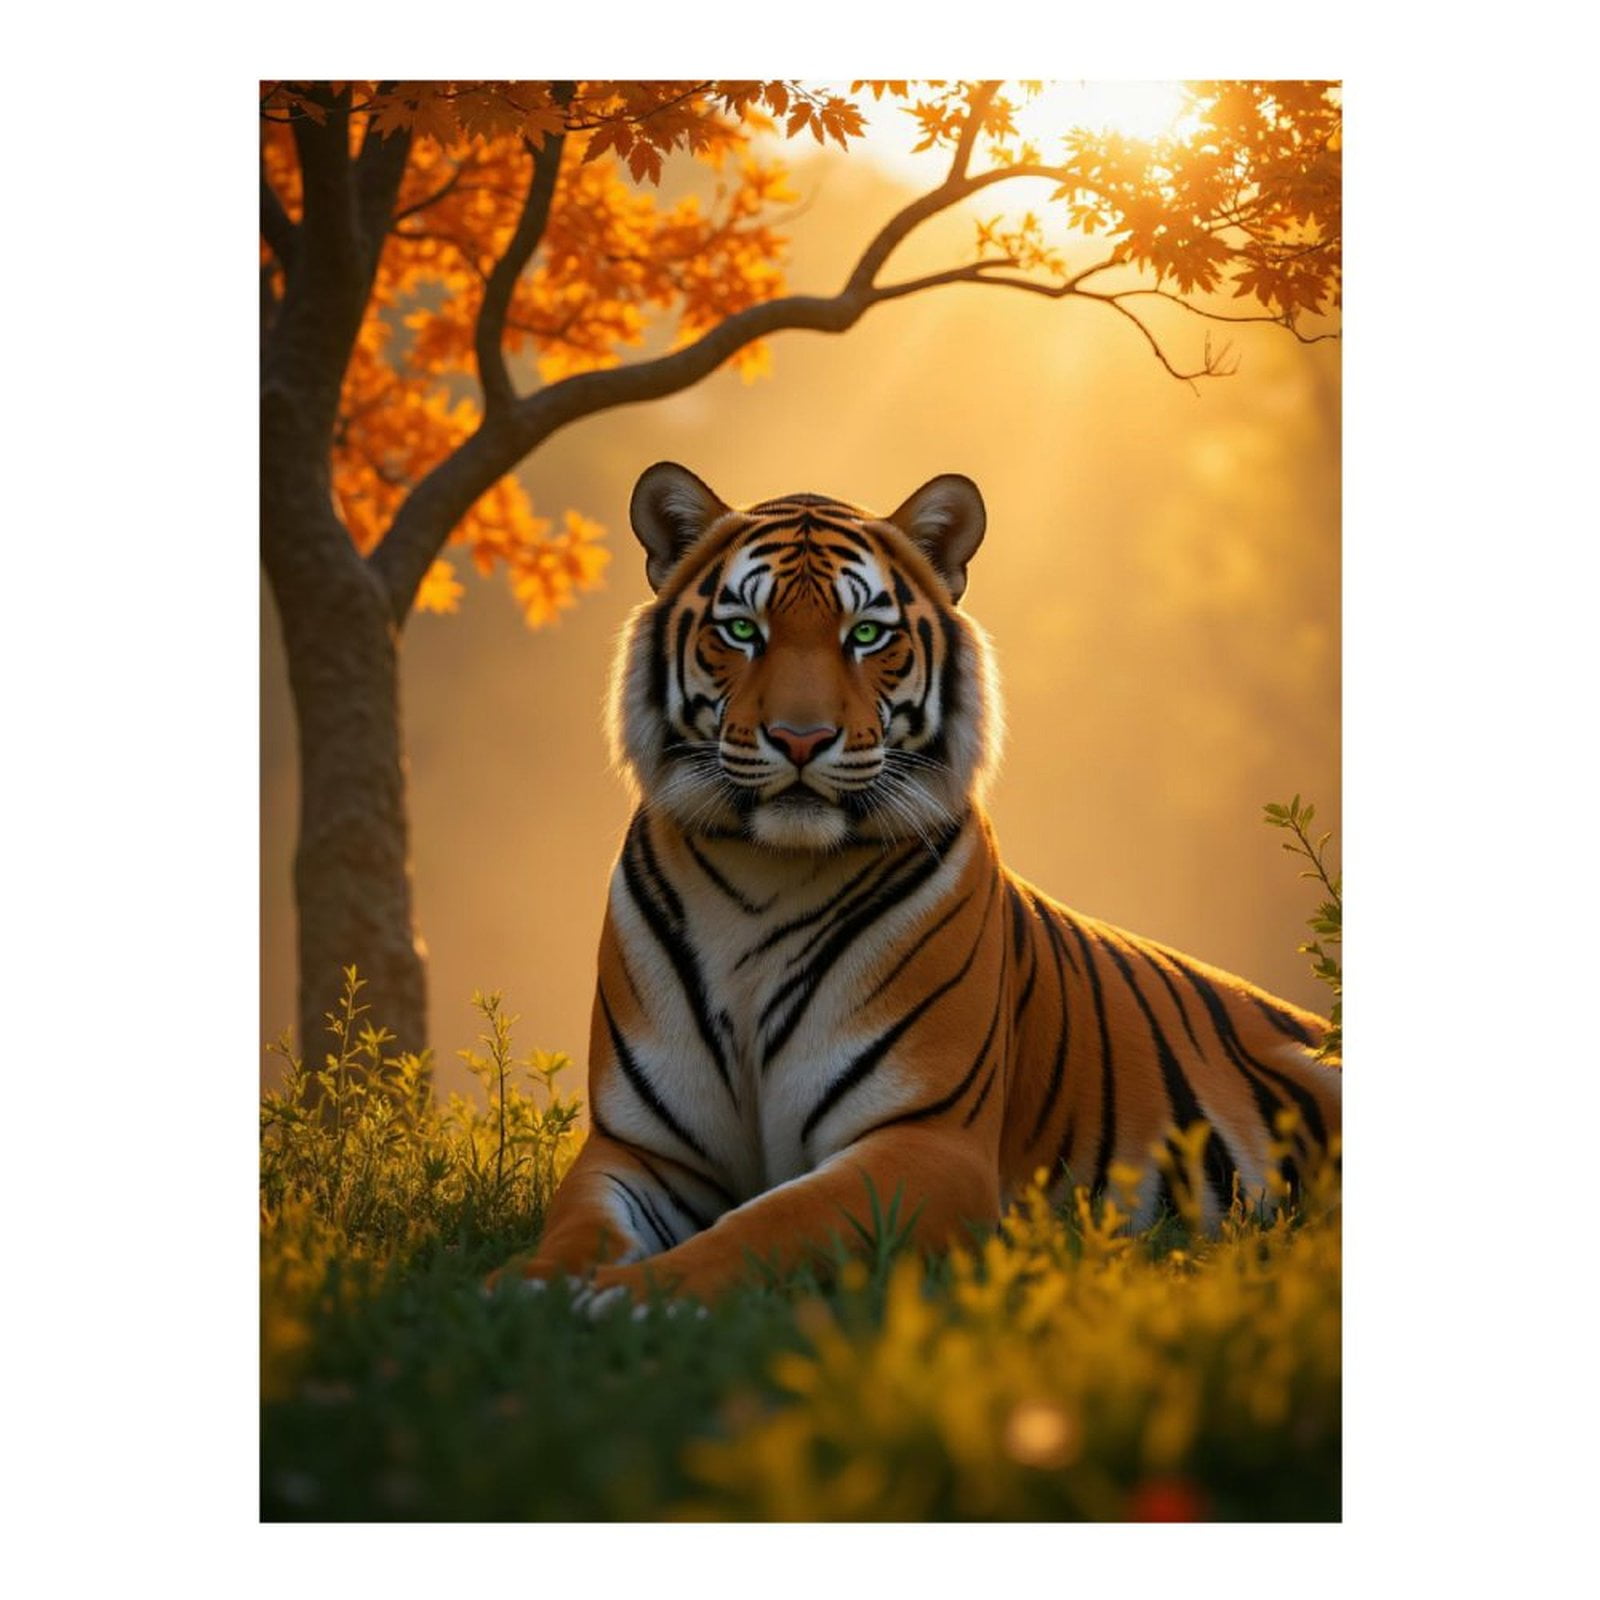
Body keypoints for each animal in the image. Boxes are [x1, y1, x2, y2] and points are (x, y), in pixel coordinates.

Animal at [491, 461, 1341, 1307]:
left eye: (867, 635)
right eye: (742, 630)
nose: (801, 738)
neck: (764, 876)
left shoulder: (929, 1144)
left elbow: (770, 1221)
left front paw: (635, 1293)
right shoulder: (638, 1148)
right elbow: (581, 1223)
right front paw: (529, 1287)